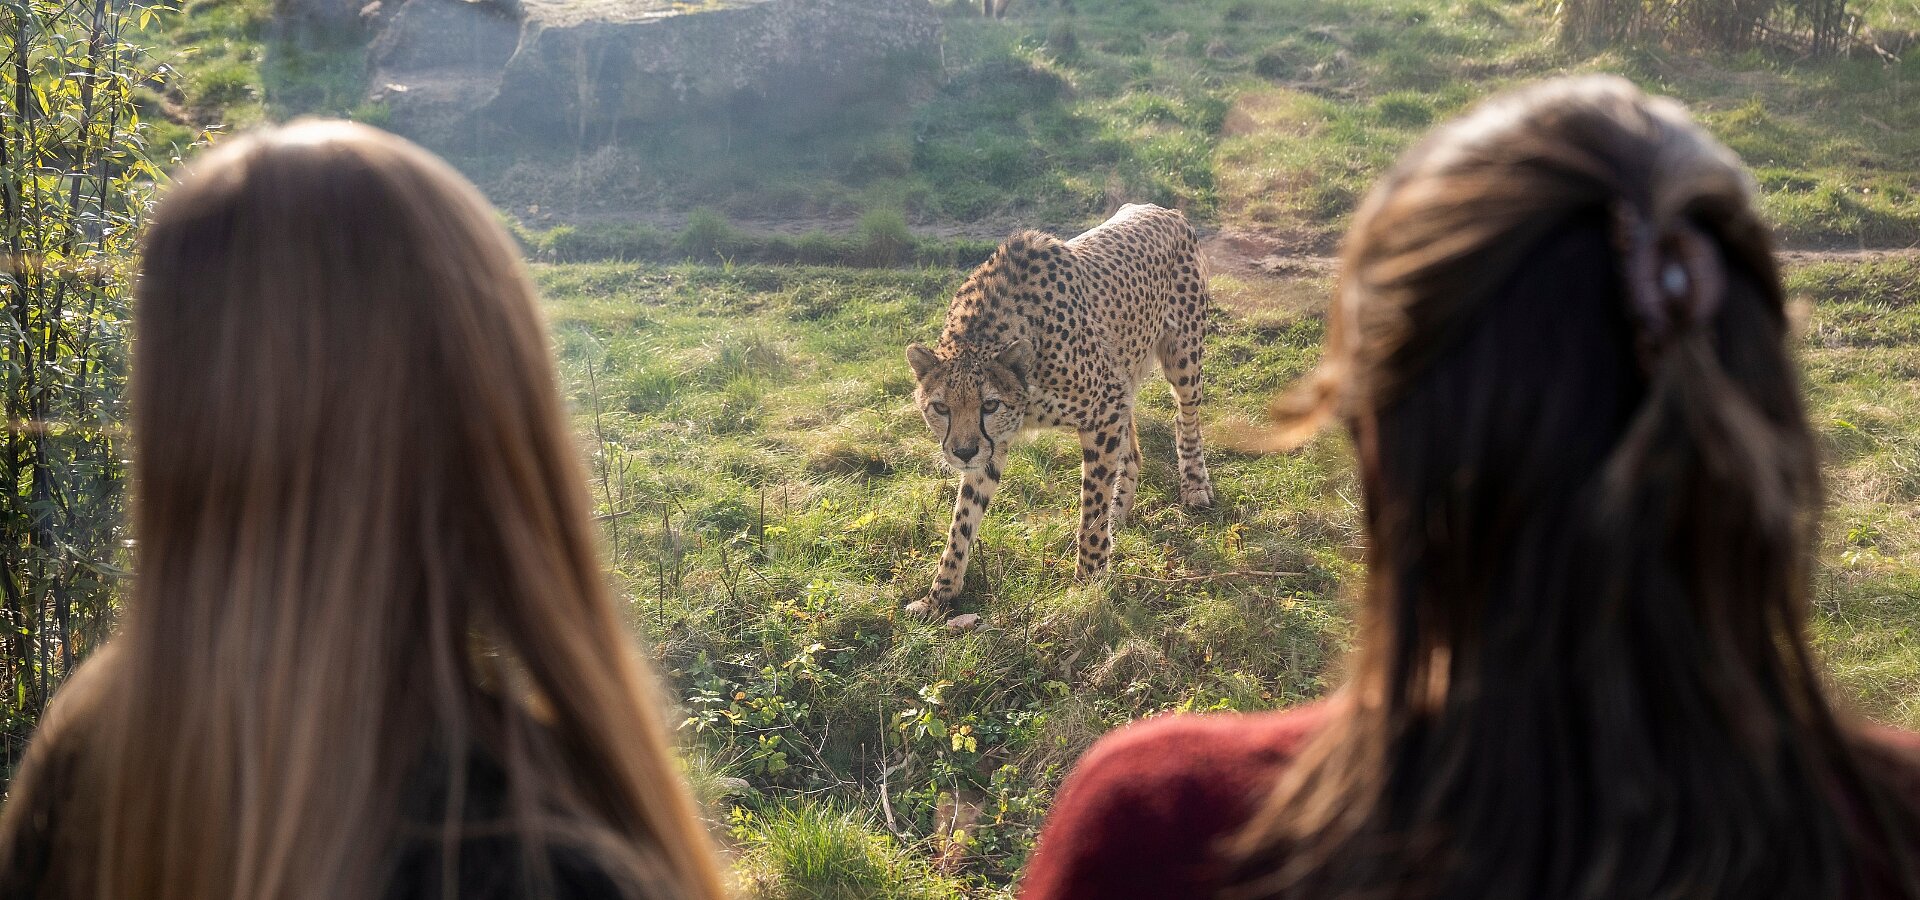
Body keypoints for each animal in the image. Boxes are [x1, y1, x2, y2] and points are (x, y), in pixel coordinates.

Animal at [902, 201, 1205, 617]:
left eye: (990, 404)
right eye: (940, 408)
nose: (962, 452)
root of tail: (1163, 209)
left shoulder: (1102, 409)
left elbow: (1092, 506)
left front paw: (1087, 585)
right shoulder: (995, 444)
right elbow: (963, 519)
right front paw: (940, 595)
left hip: (1183, 359)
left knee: (1186, 418)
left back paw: (1195, 486)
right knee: (1133, 448)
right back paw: (1120, 512)